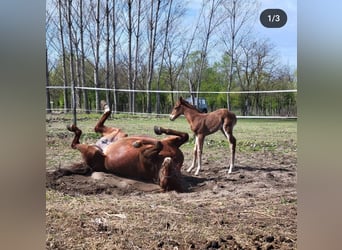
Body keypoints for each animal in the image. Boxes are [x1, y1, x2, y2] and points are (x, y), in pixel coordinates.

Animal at [57, 103, 190, 191]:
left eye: (169, 176)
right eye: (171, 171)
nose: (169, 161)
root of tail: (102, 147)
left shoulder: (145, 155)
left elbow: (158, 144)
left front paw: (138, 143)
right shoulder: (172, 142)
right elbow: (184, 135)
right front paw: (157, 130)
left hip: (92, 151)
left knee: (75, 143)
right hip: (119, 133)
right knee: (97, 127)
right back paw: (105, 108)